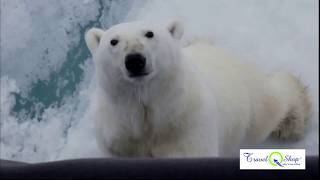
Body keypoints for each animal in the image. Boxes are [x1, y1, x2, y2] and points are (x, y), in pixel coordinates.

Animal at [84, 20, 310, 158]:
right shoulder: (119, 138)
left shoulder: (188, 126)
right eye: (113, 41)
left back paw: (293, 119)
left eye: (149, 33)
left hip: (247, 105)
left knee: (271, 107)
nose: (134, 60)